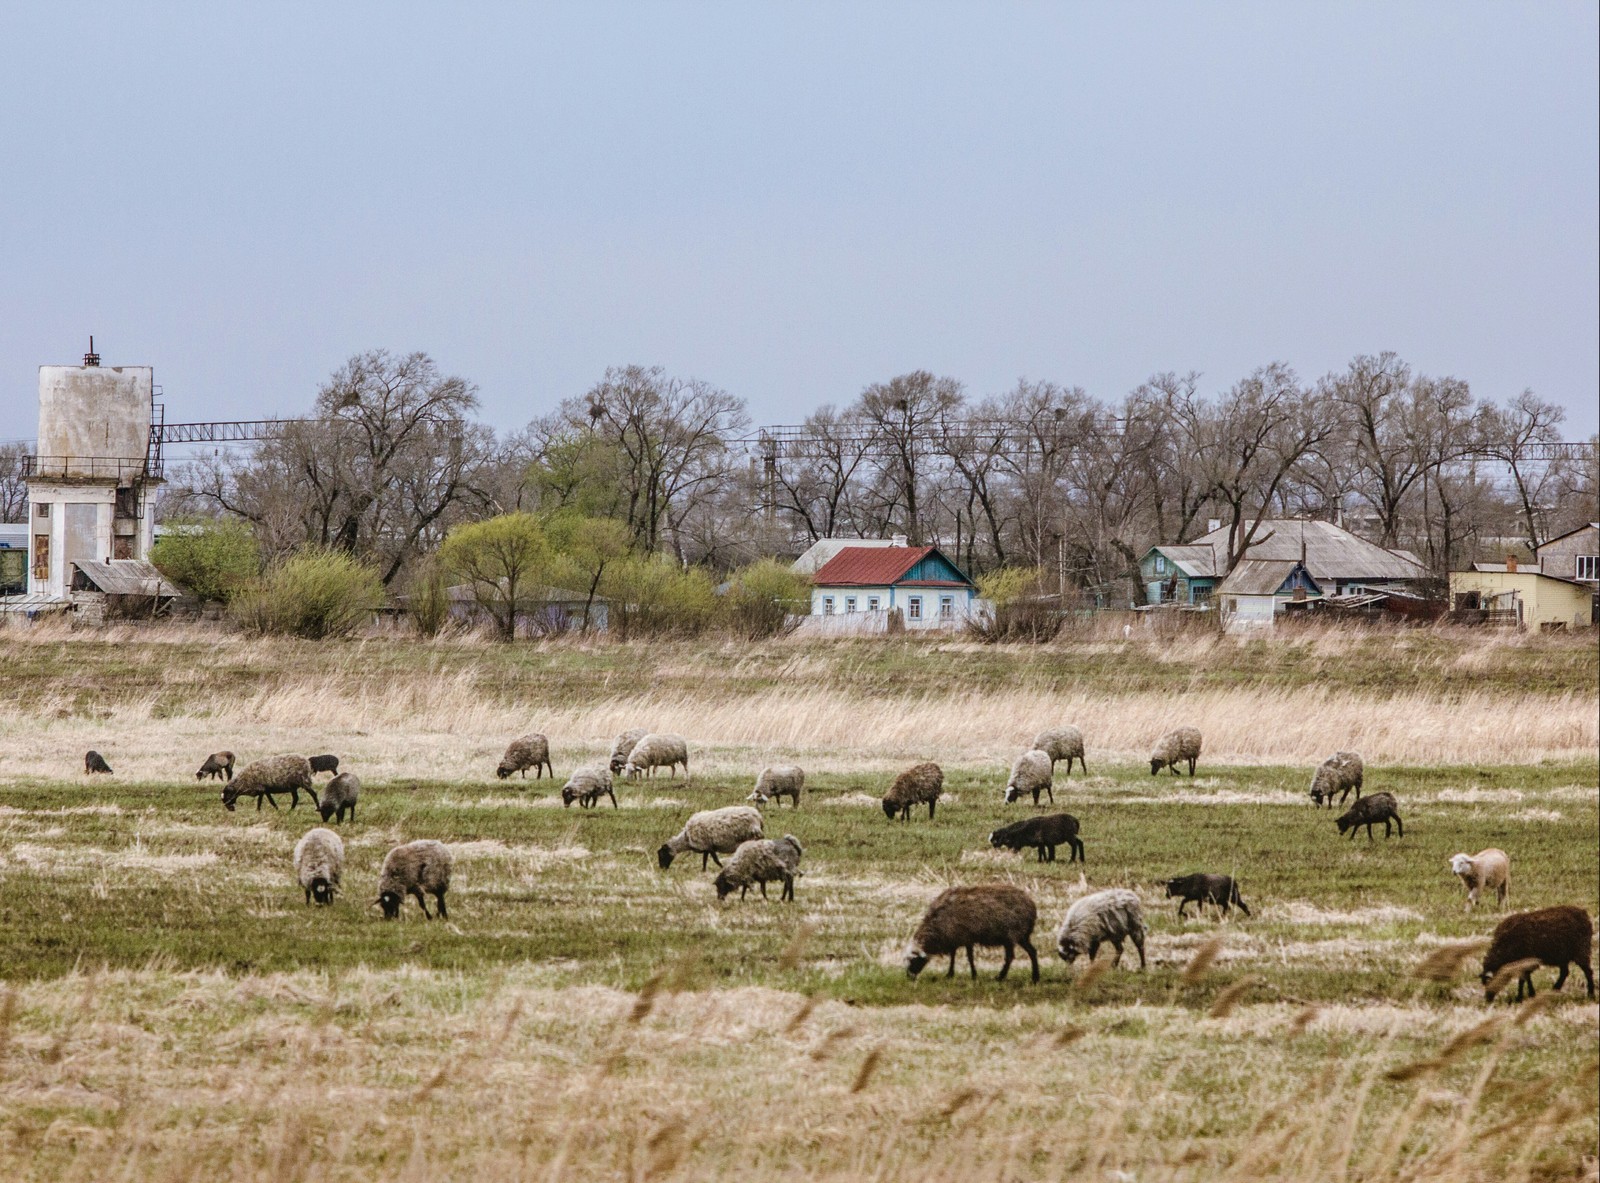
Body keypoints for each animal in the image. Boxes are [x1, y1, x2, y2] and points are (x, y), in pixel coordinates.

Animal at [908, 883, 1043, 986]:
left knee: (1010, 957)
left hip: (1012, 935)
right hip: (1022, 936)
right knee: (1032, 951)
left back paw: (1000, 977)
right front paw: (950, 974)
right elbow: (953, 955)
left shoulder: (966, 937)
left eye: (913, 960)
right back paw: (1035, 978)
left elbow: (969, 957)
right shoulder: (955, 937)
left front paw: (973, 975)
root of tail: (1031, 905)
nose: (909, 976)